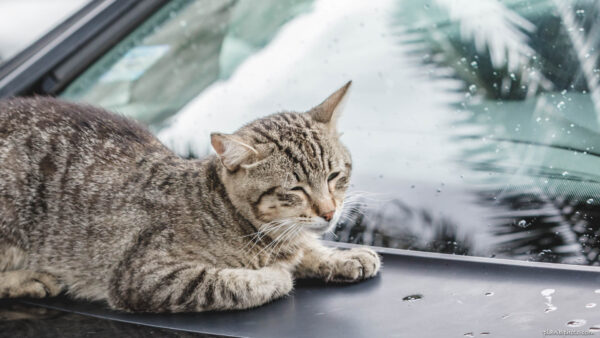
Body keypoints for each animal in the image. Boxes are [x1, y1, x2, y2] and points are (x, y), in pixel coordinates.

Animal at [0, 81, 382, 312]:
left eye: (334, 176)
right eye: (295, 189)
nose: (330, 212)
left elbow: (306, 249)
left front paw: (342, 257)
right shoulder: (146, 276)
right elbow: (229, 282)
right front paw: (274, 276)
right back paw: (29, 279)